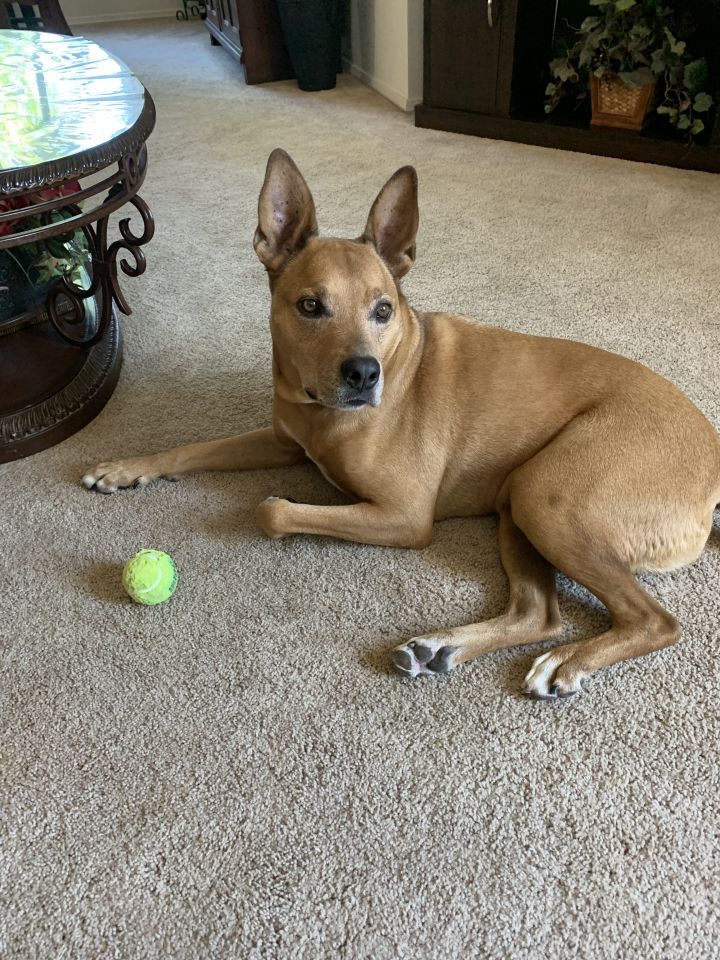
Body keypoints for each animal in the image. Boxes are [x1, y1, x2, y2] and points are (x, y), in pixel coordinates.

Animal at [81, 148, 716, 696]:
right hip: (520, 502)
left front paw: (273, 504)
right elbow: (191, 447)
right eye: (310, 306)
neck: (318, 410)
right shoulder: (284, 441)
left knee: (654, 620)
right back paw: (442, 647)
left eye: (383, 309)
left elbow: (272, 510)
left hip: (549, 496)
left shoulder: (405, 515)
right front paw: (126, 468)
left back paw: (568, 662)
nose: (364, 373)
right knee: (540, 612)